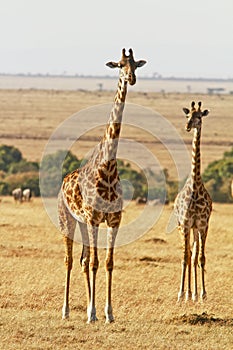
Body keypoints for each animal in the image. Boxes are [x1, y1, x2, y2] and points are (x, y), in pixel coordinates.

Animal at [57, 48, 146, 322]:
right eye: (118, 65)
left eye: (135, 65)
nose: (131, 79)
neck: (107, 169)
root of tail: (63, 183)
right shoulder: (95, 218)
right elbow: (96, 263)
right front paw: (93, 313)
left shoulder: (113, 220)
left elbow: (107, 263)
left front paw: (107, 313)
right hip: (68, 219)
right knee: (70, 260)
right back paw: (66, 311)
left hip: (83, 223)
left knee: (84, 260)